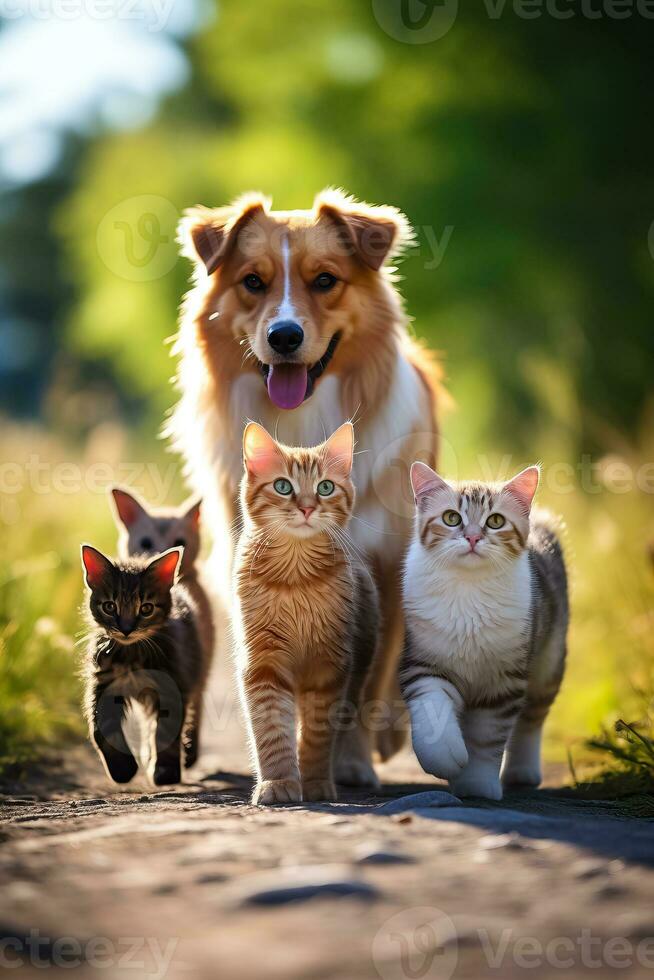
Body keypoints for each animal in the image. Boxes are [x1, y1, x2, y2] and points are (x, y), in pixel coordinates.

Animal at [81, 548, 205, 784]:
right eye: (110, 606)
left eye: (146, 608)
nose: (126, 629)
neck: (131, 653)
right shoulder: (103, 683)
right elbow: (101, 728)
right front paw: (122, 768)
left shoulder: (172, 686)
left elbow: (166, 731)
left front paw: (165, 771)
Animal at [234, 422, 380, 804]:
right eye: (283, 486)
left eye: (325, 487)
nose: (307, 508)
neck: (295, 580)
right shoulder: (264, 664)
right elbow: (272, 730)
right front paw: (279, 781)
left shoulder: (329, 668)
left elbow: (316, 735)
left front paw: (314, 783)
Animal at [400, 464, 568, 800]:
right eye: (451, 518)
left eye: (496, 521)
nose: (473, 537)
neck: (469, 587)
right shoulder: (425, 663)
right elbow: (434, 711)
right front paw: (444, 759)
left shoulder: (503, 681)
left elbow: (486, 740)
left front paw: (477, 784)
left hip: (549, 661)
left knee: (532, 719)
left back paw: (523, 771)